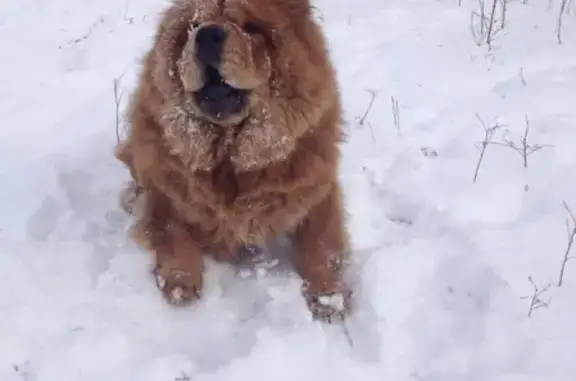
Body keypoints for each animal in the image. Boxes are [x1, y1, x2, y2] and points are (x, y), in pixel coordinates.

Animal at [116, 0, 352, 322]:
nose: (207, 34)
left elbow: (322, 243)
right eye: (192, 27)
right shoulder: (165, 194)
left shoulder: (317, 189)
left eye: (252, 28)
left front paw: (329, 297)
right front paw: (180, 284)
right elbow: (173, 232)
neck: (230, 158)